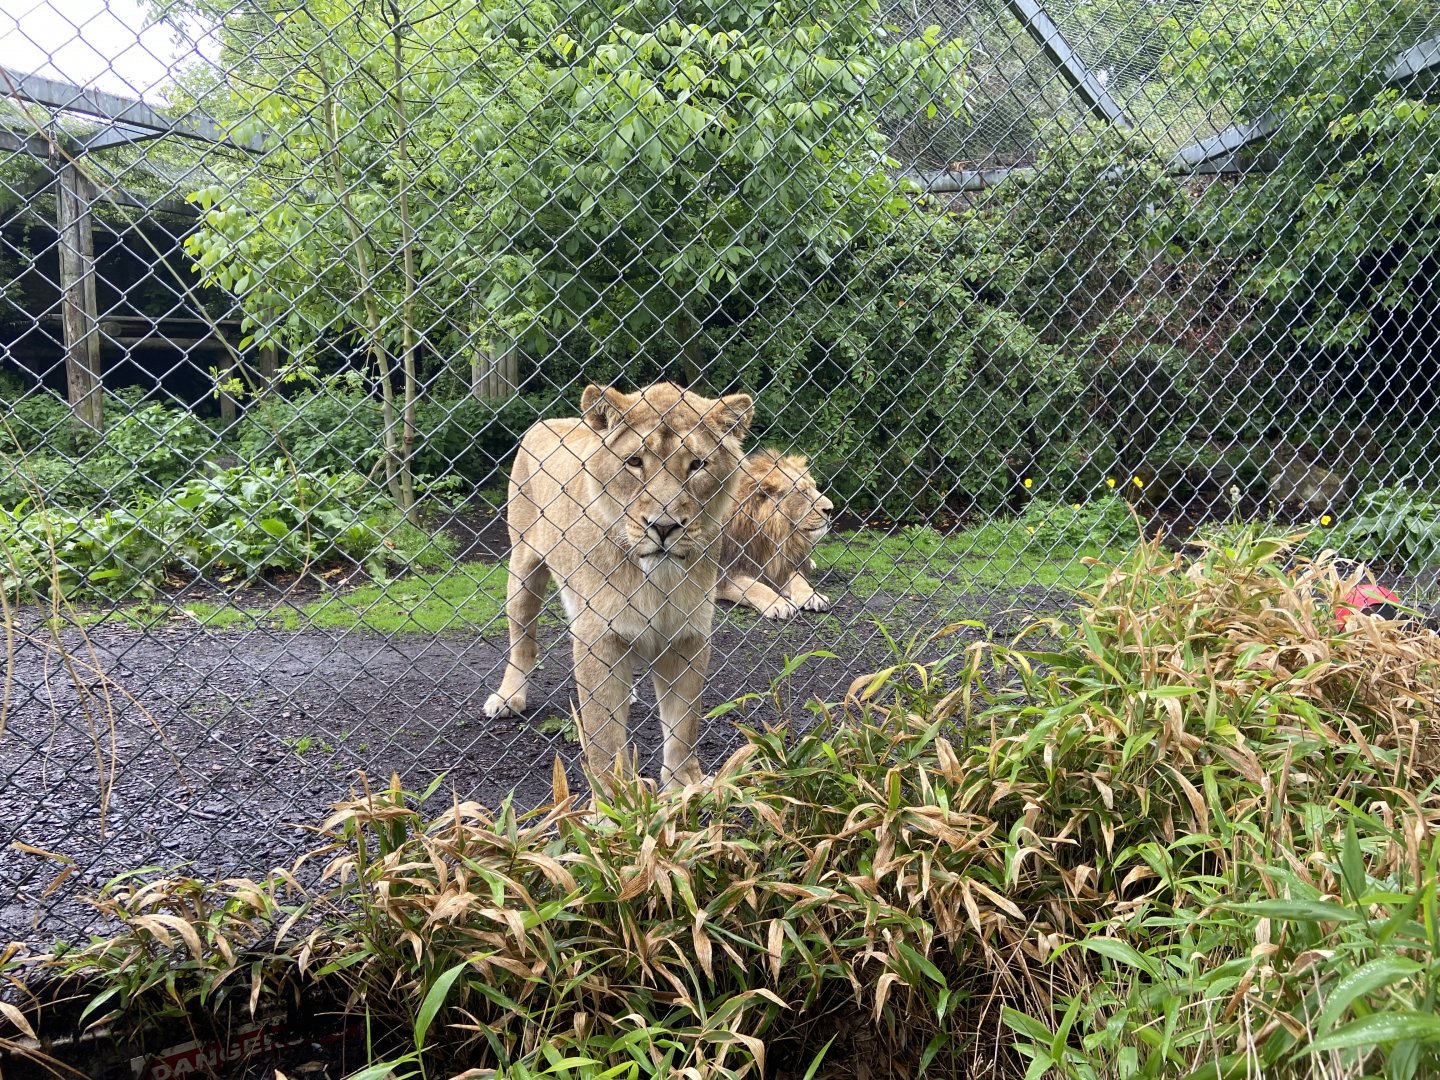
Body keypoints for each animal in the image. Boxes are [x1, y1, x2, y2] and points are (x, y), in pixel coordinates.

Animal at [482, 382, 753, 792]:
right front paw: (615, 799)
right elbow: (604, 737)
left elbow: (684, 723)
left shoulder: (688, 635)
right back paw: (508, 696)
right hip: (523, 569)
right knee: (522, 640)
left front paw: (686, 785)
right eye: (635, 462)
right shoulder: (599, 638)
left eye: (697, 465)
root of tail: (550, 421)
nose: (663, 526)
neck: (656, 579)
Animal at [717, 450, 834, 620]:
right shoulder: (724, 574)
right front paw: (780, 603)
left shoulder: (784, 563)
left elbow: (799, 580)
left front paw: (813, 596)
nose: (831, 509)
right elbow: (755, 587)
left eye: (814, 487)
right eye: (803, 492)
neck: (770, 537)